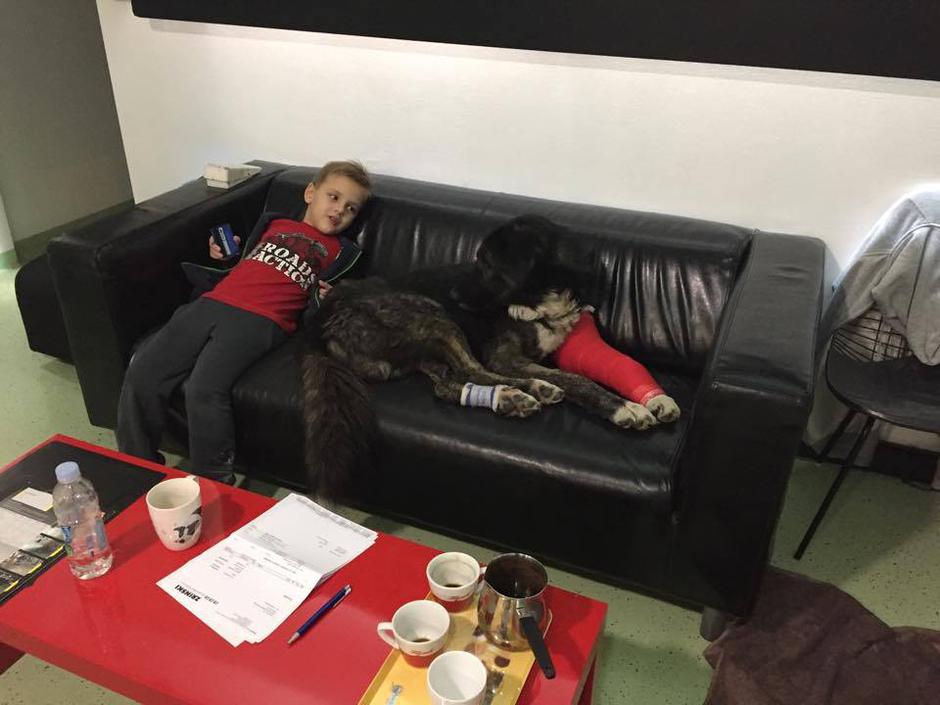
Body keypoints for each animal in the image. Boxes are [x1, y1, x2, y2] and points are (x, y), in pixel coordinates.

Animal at [300, 215, 677, 498]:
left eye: (487, 264)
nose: (454, 294)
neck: (540, 301)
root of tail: (319, 325)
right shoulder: (504, 356)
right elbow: (576, 379)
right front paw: (624, 408)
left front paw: (656, 400)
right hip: (431, 314)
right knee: (472, 370)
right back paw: (527, 391)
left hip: (424, 346)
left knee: (447, 384)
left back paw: (513, 397)